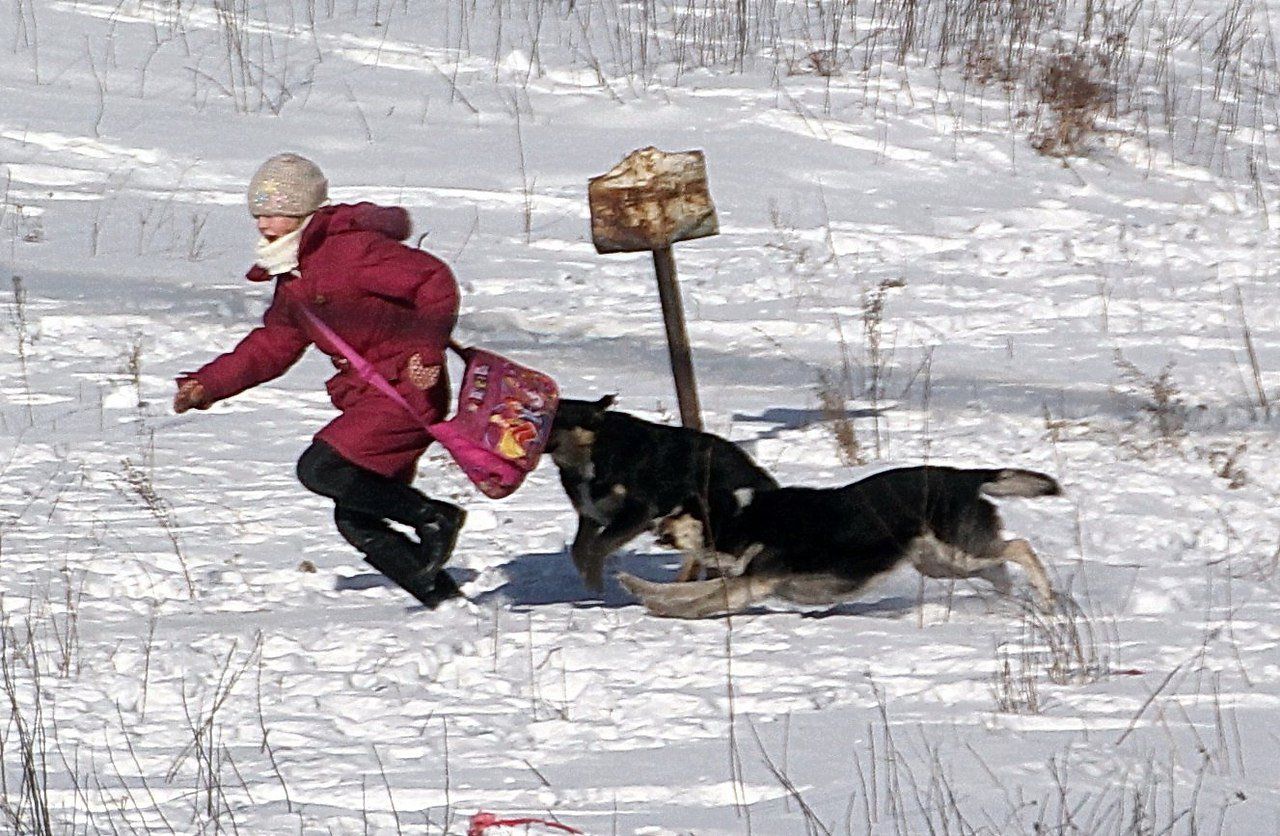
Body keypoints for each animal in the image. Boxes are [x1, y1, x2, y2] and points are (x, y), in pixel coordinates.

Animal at [542, 394, 773, 588]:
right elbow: (579, 550)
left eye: (556, 419)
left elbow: (597, 546)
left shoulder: (639, 512)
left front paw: (596, 587)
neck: (594, 451)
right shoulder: (591, 514)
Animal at [619, 466, 1059, 617]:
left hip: (956, 552)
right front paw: (640, 590)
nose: (653, 520)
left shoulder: (754, 582)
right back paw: (1007, 604)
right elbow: (681, 590)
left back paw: (1047, 598)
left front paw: (667, 613)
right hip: (939, 563)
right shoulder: (746, 577)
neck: (743, 518)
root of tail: (966, 476)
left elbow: (700, 601)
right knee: (999, 568)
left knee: (1019, 547)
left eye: (680, 511)